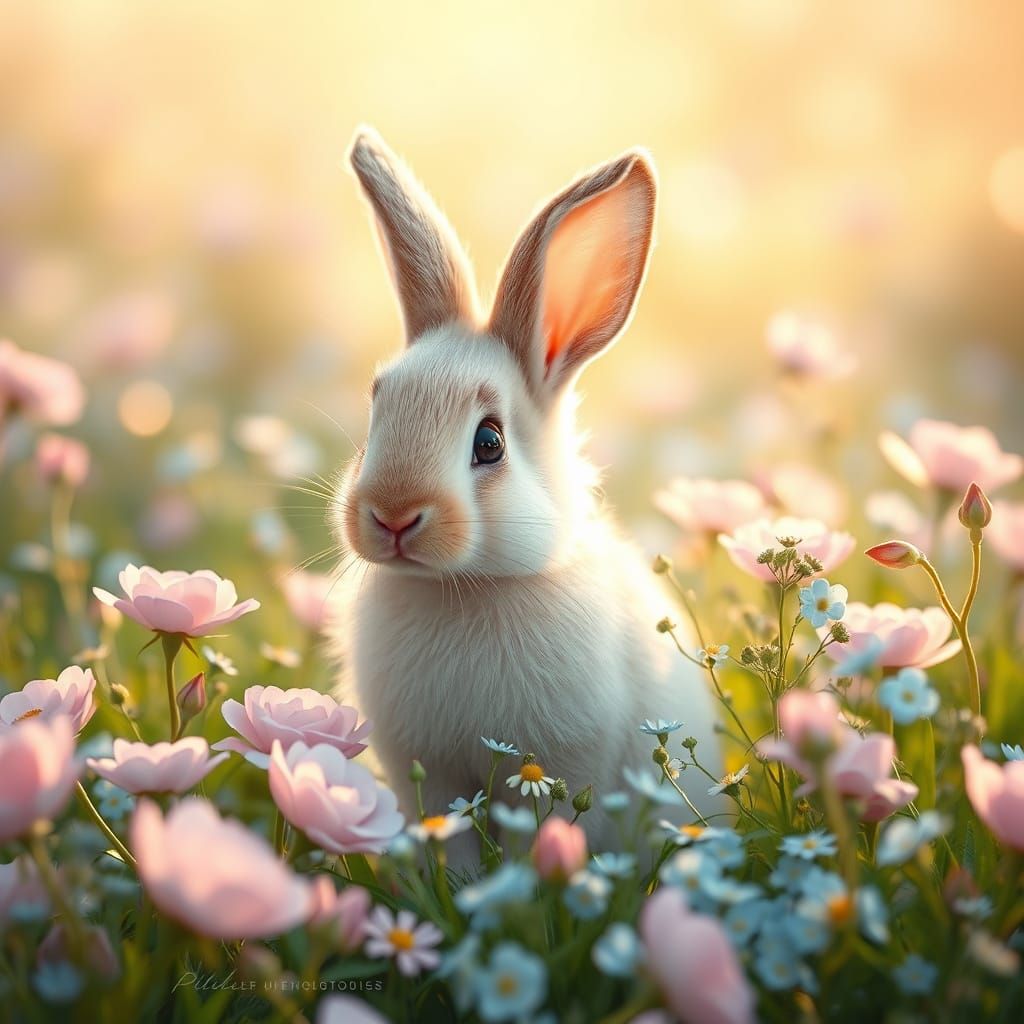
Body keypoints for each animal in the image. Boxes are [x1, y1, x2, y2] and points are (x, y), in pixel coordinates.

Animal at [329, 128, 722, 862]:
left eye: (489, 443)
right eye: (376, 412)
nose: (392, 516)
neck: (467, 586)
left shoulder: (566, 760)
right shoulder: (428, 772)